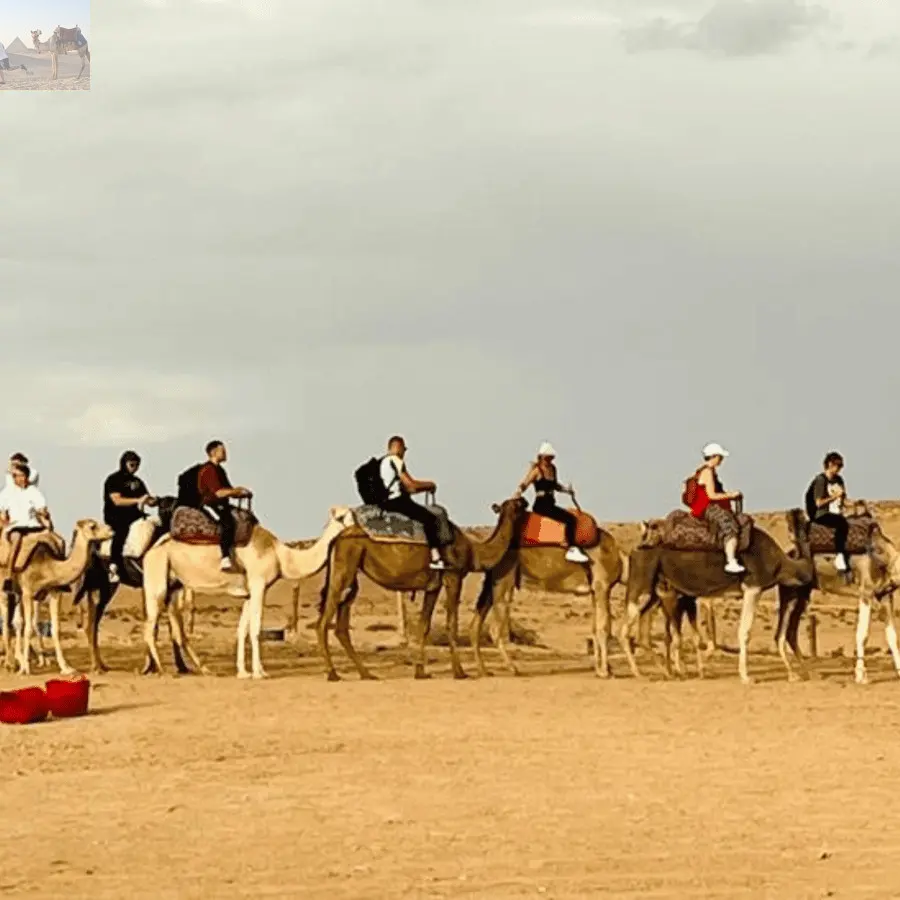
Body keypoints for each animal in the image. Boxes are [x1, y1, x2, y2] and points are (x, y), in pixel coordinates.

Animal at [5, 520, 114, 676]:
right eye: (92, 526)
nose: (111, 530)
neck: (47, 566)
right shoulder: (27, 592)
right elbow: (28, 629)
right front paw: (25, 668)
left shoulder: (55, 591)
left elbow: (55, 629)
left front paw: (66, 668)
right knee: (14, 622)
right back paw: (13, 663)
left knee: (19, 621)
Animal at [142, 506, 355, 679]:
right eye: (342, 517)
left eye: (354, 514)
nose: (357, 529)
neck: (280, 556)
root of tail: (151, 550)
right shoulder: (259, 584)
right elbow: (256, 629)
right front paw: (260, 674)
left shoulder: (249, 593)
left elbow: (242, 629)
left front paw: (244, 672)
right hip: (157, 580)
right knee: (150, 627)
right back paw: (162, 670)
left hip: (173, 586)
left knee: (176, 630)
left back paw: (204, 669)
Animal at [316, 497, 527, 681]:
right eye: (518, 505)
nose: (525, 501)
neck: (474, 551)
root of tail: (336, 539)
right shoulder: (453, 576)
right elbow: (452, 624)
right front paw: (459, 672)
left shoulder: (433, 586)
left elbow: (424, 625)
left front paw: (420, 671)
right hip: (344, 567)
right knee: (324, 621)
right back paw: (332, 673)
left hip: (352, 575)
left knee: (342, 624)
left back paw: (366, 674)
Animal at [468, 527, 624, 678]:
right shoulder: (602, 585)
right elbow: (604, 628)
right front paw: (605, 672)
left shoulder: (595, 591)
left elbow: (595, 628)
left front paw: (602, 670)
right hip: (504, 577)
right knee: (494, 628)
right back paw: (513, 668)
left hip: (492, 581)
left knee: (476, 623)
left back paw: (484, 670)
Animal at [620, 509, 815, 684]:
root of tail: (636, 548)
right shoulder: (753, 588)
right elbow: (745, 632)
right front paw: (746, 677)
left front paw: (793, 675)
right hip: (641, 584)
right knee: (624, 631)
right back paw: (640, 673)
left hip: (655, 591)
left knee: (644, 633)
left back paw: (667, 673)